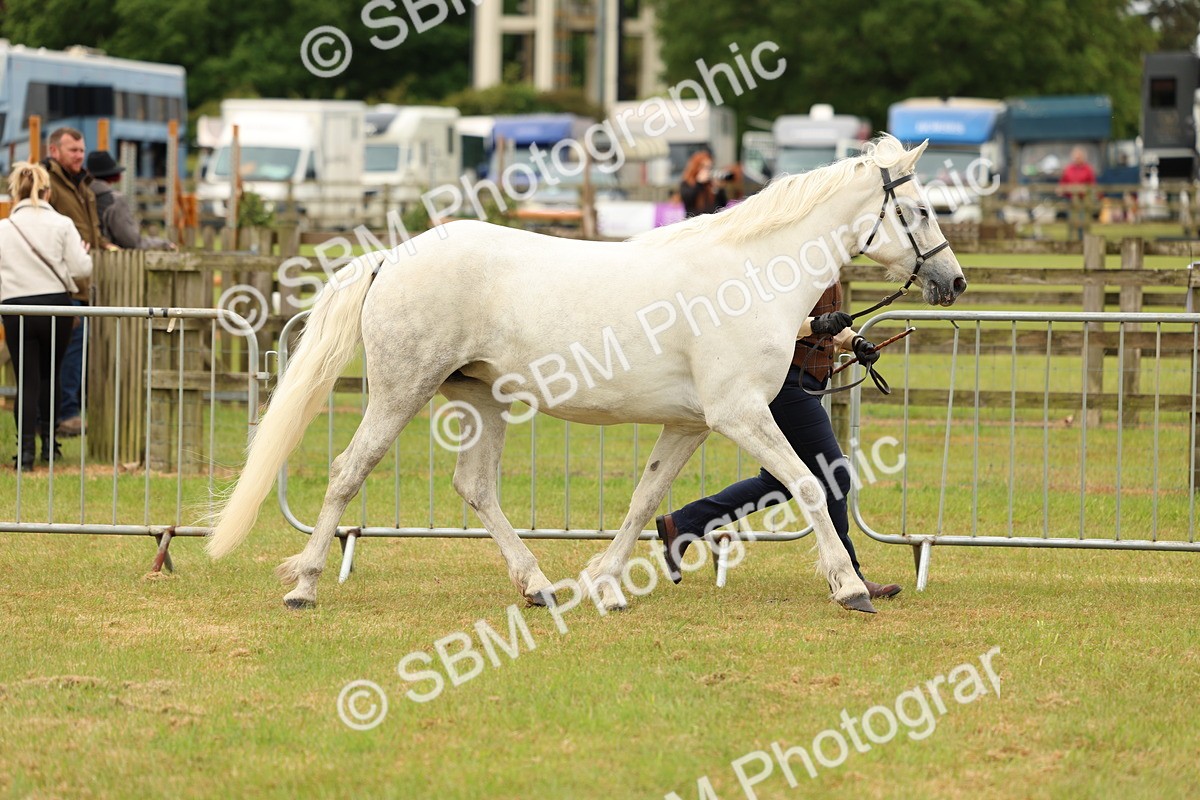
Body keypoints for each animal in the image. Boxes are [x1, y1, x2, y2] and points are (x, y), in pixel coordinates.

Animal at [206, 133, 966, 614]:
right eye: (924, 208)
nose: (954, 281)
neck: (748, 277)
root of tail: (393, 256)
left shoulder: (690, 425)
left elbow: (643, 498)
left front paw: (605, 583)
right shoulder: (741, 414)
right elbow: (809, 484)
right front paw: (850, 588)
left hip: (483, 398)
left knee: (475, 487)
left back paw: (538, 585)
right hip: (401, 391)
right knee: (347, 472)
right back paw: (304, 586)